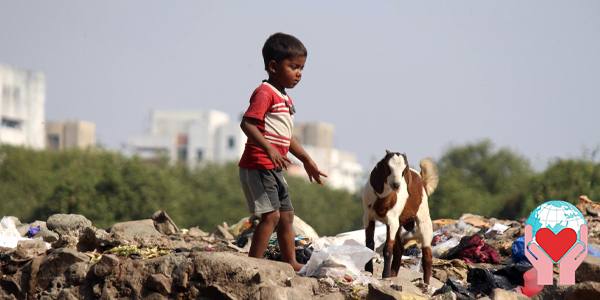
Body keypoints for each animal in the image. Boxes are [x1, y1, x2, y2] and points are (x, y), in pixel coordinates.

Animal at [364, 150, 438, 284]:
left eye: (403, 170)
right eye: (388, 167)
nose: (396, 185)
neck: (383, 200)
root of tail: (422, 180)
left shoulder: (392, 222)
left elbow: (388, 249)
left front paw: (385, 275)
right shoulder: (368, 217)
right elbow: (369, 245)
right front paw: (369, 271)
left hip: (423, 217)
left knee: (427, 254)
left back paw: (426, 283)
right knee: (399, 250)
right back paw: (394, 275)